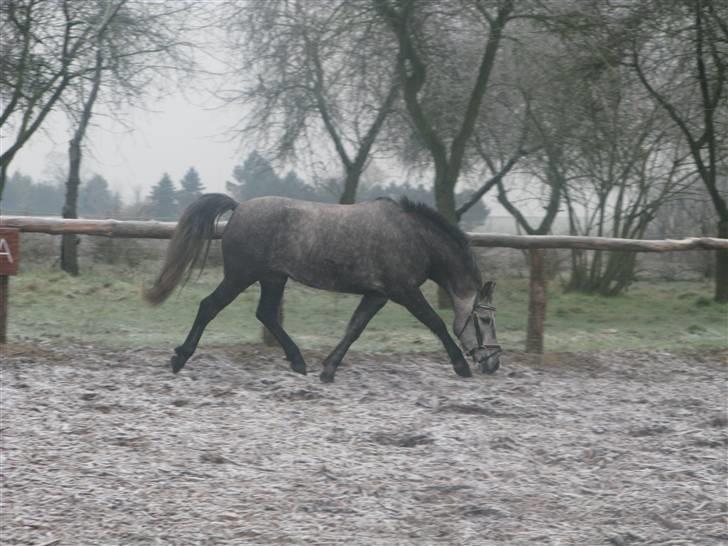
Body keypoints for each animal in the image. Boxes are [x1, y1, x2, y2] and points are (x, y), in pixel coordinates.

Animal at [146, 193, 500, 380]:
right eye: (485, 319)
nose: (493, 363)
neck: (414, 237)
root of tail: (240, 207)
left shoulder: (378, 295)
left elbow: (354, 328)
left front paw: (328, 369)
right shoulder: (404, 292)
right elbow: (436, 323)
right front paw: (460, 366)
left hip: (273, 278)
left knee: (266, 315)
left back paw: (298, 362)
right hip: (240, 276)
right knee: (209, 307)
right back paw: (179, 359)